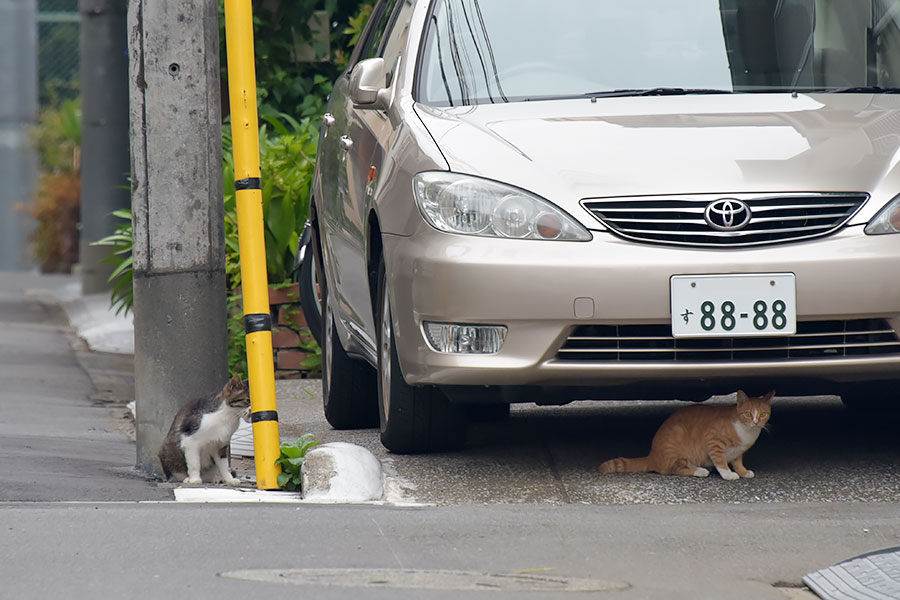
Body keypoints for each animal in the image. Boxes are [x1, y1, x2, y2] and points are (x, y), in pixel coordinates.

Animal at [600, 392, 768, 480]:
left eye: (763, 414)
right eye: (748, 414)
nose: (755, 422)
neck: (746, 431)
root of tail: (652, 455)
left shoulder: (738, 451)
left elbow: (738, 462)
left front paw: (743, 472)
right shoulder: (713, 441)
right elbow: (720, 461)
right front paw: (728, 474)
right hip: (677, 446)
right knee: (673, 470)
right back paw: (699, 471)